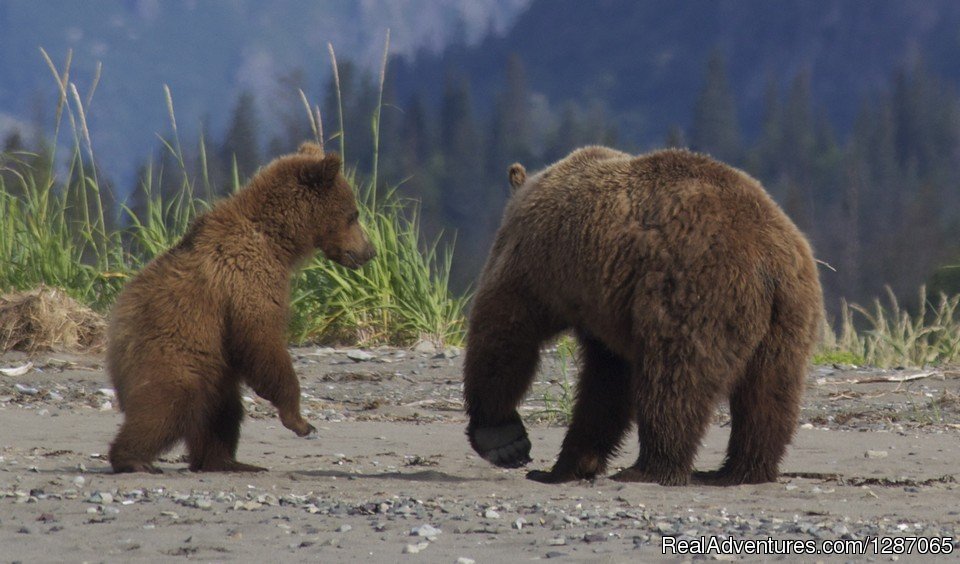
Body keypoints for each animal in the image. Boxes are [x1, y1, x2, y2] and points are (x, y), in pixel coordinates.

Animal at [107, 143, 374, 474]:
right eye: (353, 214)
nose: (369, 251)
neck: (277, 241)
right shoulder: (246, 277)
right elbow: (261, 339)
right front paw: (300, 421)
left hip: (213, 371)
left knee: (222, 413)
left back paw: (226, 461)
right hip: (173, 353)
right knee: (165, 406)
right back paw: (133, 458)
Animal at [464, 145, 816, 484]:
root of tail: (768, 260)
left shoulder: (538, 262)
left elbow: (505, 328)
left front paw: (503, 439)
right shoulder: (605, 311)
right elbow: (606, 383)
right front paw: (566, 466)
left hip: (695, 293)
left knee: (674, 380)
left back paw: (651, 468)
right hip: (786, 320)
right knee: (768, 393)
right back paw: (739, 470)